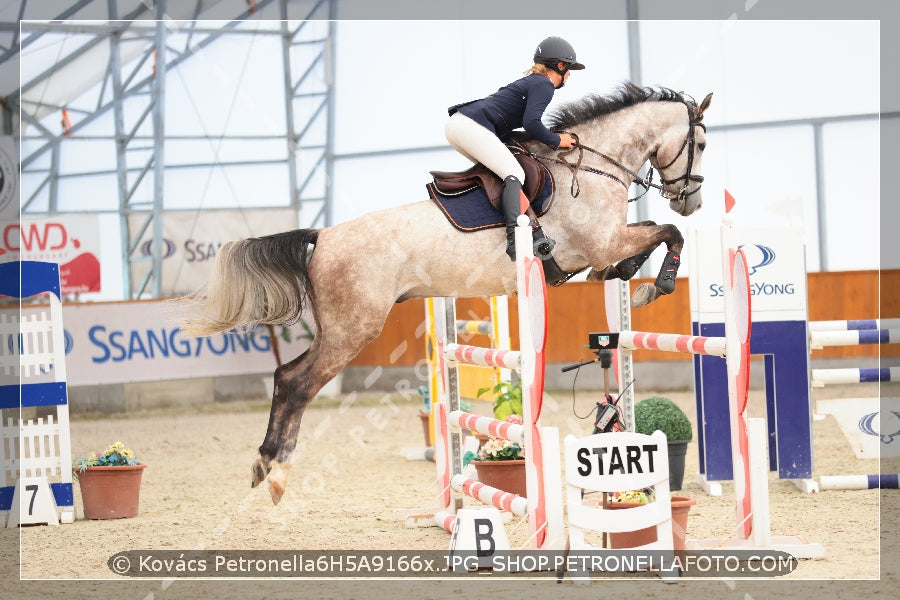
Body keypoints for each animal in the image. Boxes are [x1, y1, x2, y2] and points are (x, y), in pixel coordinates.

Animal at [183, 82, 712, 504]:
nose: (692, 202)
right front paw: (657, 285)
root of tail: (322, 236)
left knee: (284, 375)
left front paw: (629, 277)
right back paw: (276, 473)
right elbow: (667, 234)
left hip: (341, 328)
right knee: (297, 383)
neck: (592, 168)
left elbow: (648, 239)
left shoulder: (604, 245)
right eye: (702, 143)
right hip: (353, 329)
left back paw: (263, 463)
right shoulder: (600, 242)